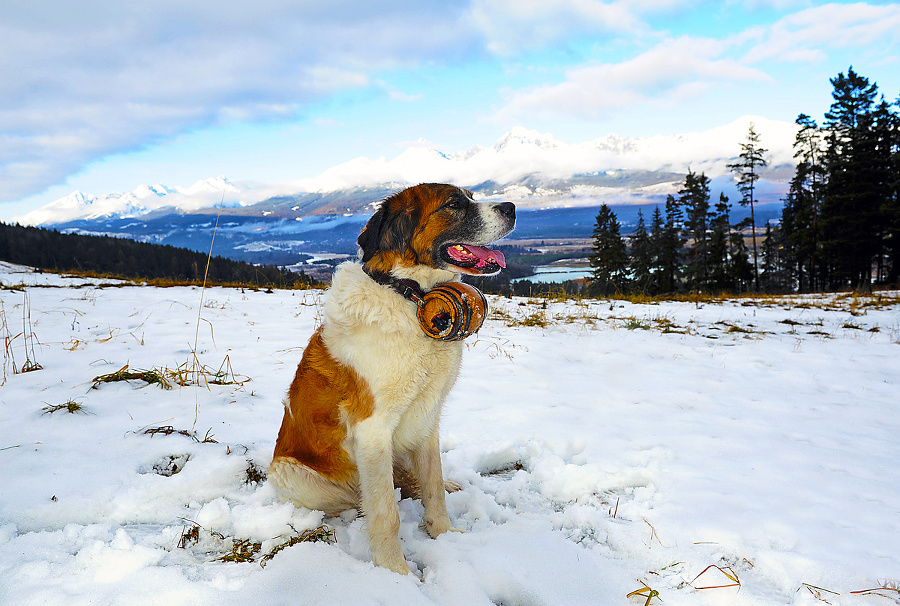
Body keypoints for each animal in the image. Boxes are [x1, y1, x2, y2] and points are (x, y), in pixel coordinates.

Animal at [268, 183, 512, 576]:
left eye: (471, 196)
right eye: (454, 204)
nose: (512, 207)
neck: (412, 297)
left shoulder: (428, 419)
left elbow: (432, 486)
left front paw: (444, 535)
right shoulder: (372, 429)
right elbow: (385, 512)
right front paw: (395, 572)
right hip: (292, 474)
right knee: (359, 496)